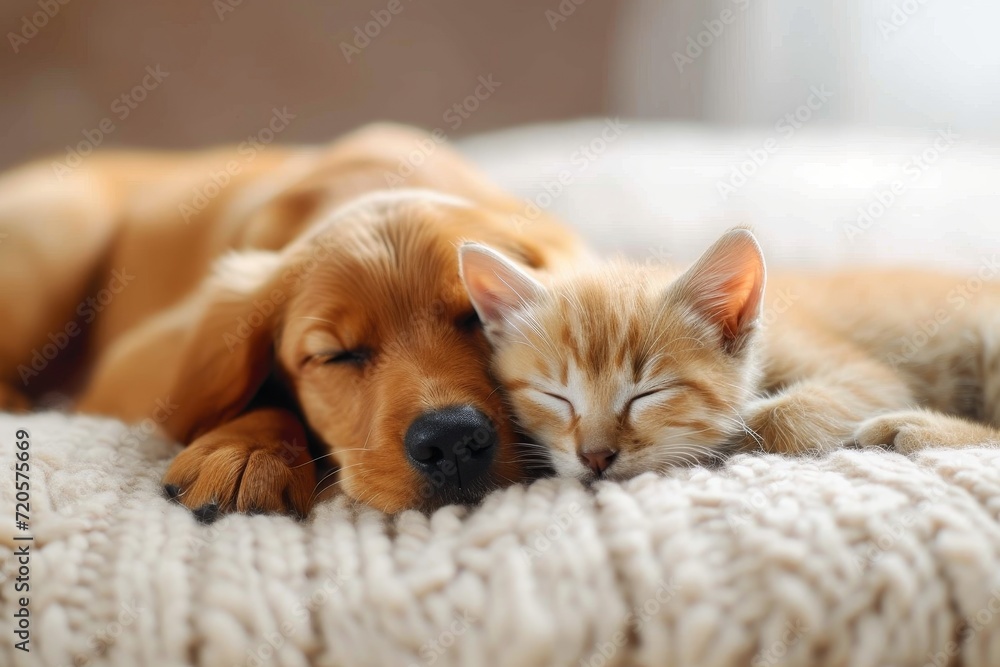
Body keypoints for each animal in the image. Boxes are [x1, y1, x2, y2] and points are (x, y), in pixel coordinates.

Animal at [458, 228, 1000, 480]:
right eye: (556, 396)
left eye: (647, 394)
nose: (594, 457)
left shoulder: (870, 378)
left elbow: (777, 415)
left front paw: (731, 434)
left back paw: (912, 427)